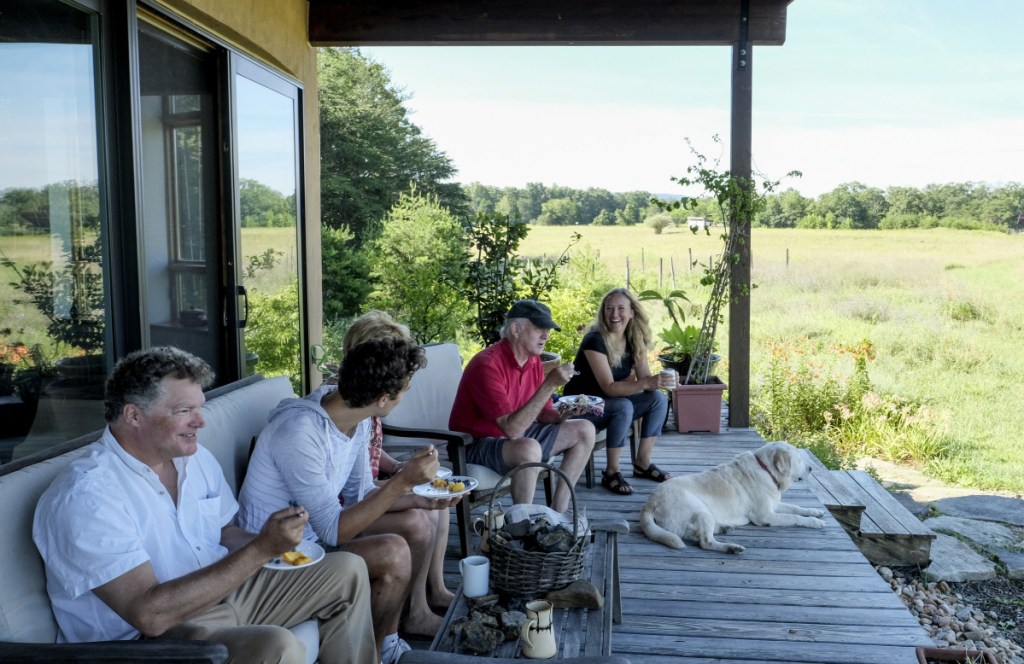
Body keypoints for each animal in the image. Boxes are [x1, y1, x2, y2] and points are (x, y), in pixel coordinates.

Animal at [643, 440, 827, 553]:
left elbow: (796, 508)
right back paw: (732, 547)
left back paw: (725, 528)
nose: (811, 468)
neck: (766, 469)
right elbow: (794, 517)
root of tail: (649, 504)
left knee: (697, 535)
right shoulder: (765, 515)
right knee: (705, 542)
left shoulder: (774, 505)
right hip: (700, 510)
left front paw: (815, 512)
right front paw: (815, 522)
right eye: (799, 460)